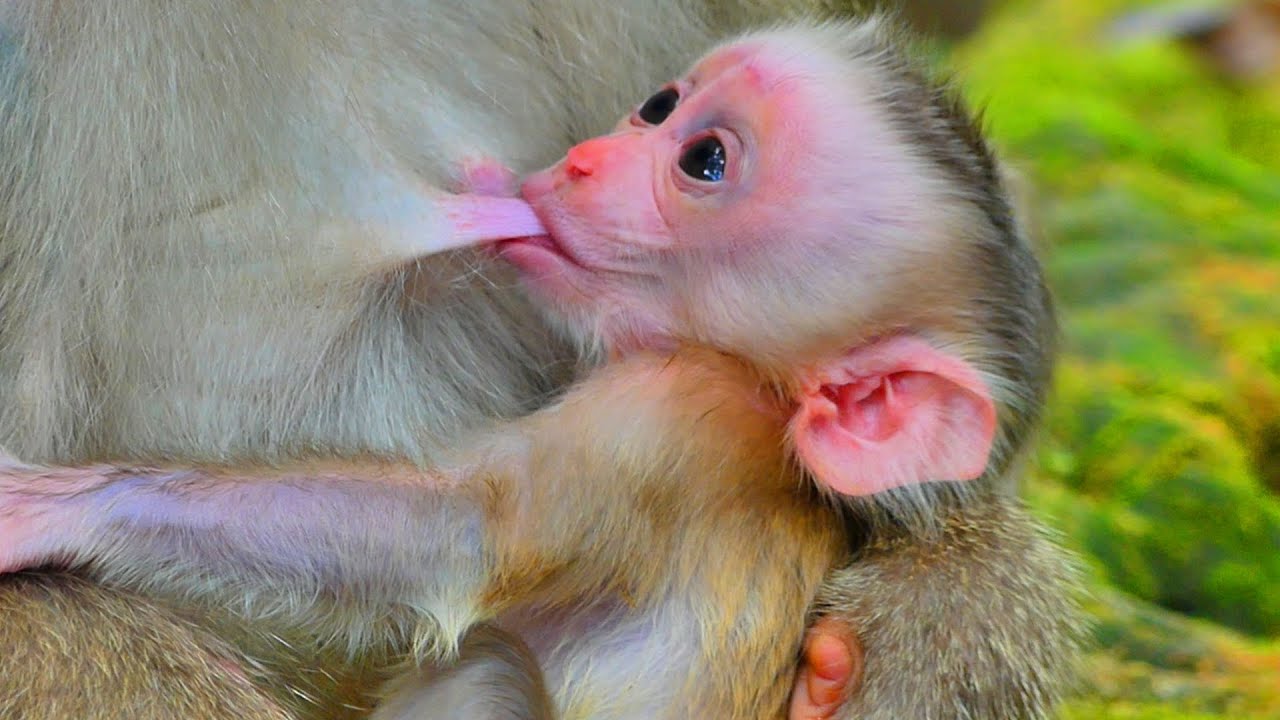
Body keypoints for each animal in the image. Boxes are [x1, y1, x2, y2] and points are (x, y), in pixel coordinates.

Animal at [0, 17, 1082, 720]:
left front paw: (66, 508)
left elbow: (460, 533)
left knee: (482, 661)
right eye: (659, 104)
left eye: (703, 161)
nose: (581, 162)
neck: (758, 389)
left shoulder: (671, 414)